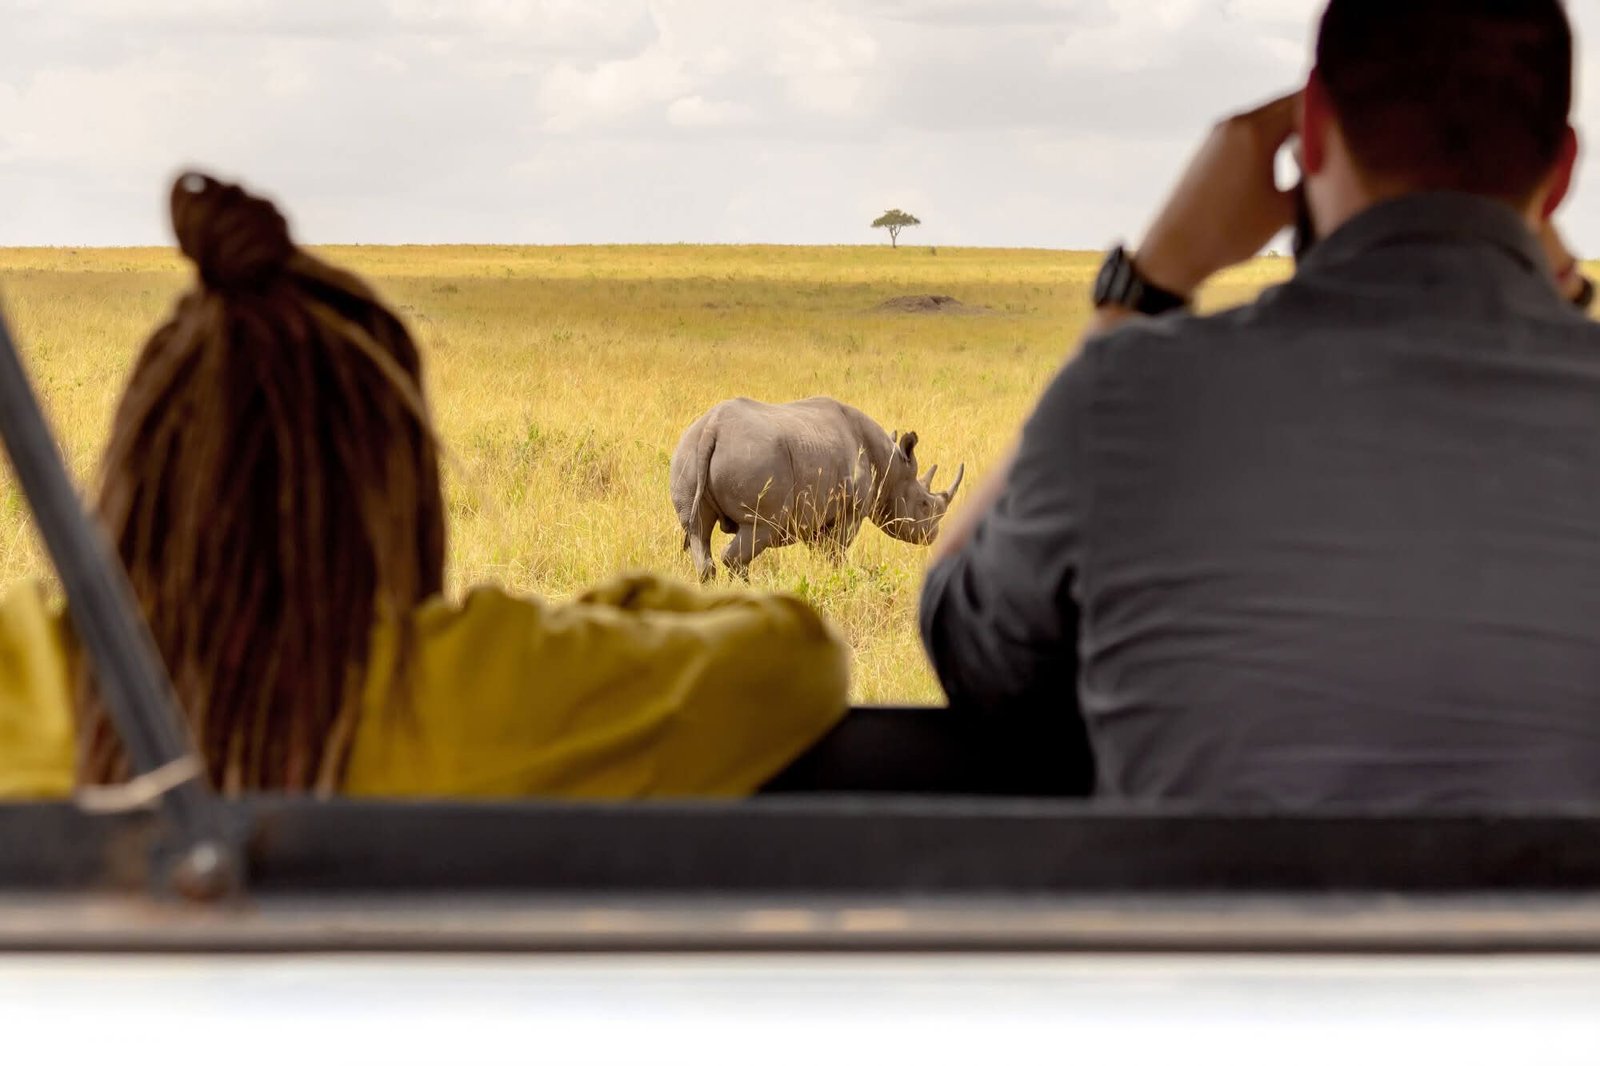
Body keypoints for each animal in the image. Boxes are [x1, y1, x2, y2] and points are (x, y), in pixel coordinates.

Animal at [670, 396, 965, 581]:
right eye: (924, 505)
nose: (933, 535)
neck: (890, 466)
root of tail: (711, 429)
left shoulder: (815, 513)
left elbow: (821, 551)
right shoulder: (850, 512)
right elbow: (837, 552)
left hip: (687, 452)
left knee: (697, 531)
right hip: (752, 460)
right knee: (756, 531)